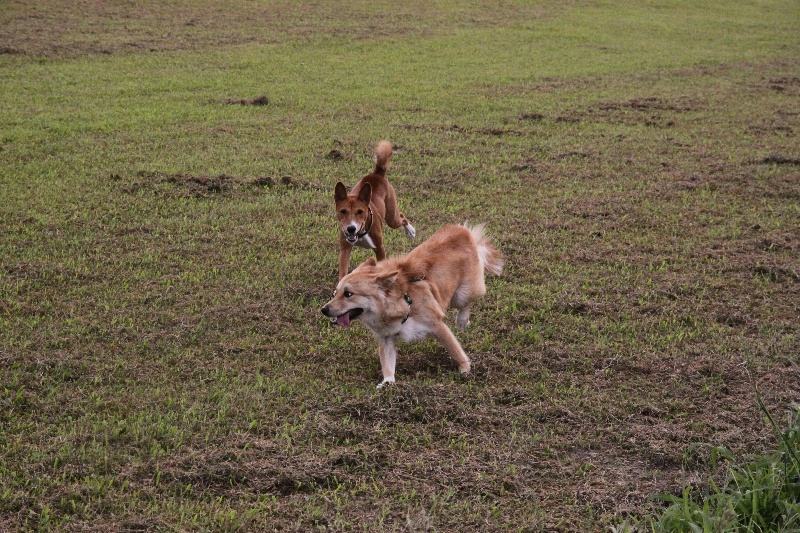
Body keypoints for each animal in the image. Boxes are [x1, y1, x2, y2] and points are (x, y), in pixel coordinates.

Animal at [321, 224, 503, 387]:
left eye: (348, 294)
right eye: (335, 292)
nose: (324, 310)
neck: (399, 302)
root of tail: (462, 230)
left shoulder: (437, 325)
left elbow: (455, 350)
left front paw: (465, 371)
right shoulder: (386, 338)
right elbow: (387, 363)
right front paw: (387, 383)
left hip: (462, 294)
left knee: (465, 304)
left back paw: (462, 321)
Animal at [334, 140, 416, 279]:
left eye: (360, 211)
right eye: (343, 211)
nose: (351, 228)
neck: (360, 234)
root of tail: (377, 174)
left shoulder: (380, 248)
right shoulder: (345, 249)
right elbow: (343, 273)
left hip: (391, 218)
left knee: (401, 216)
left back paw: (410, 231)